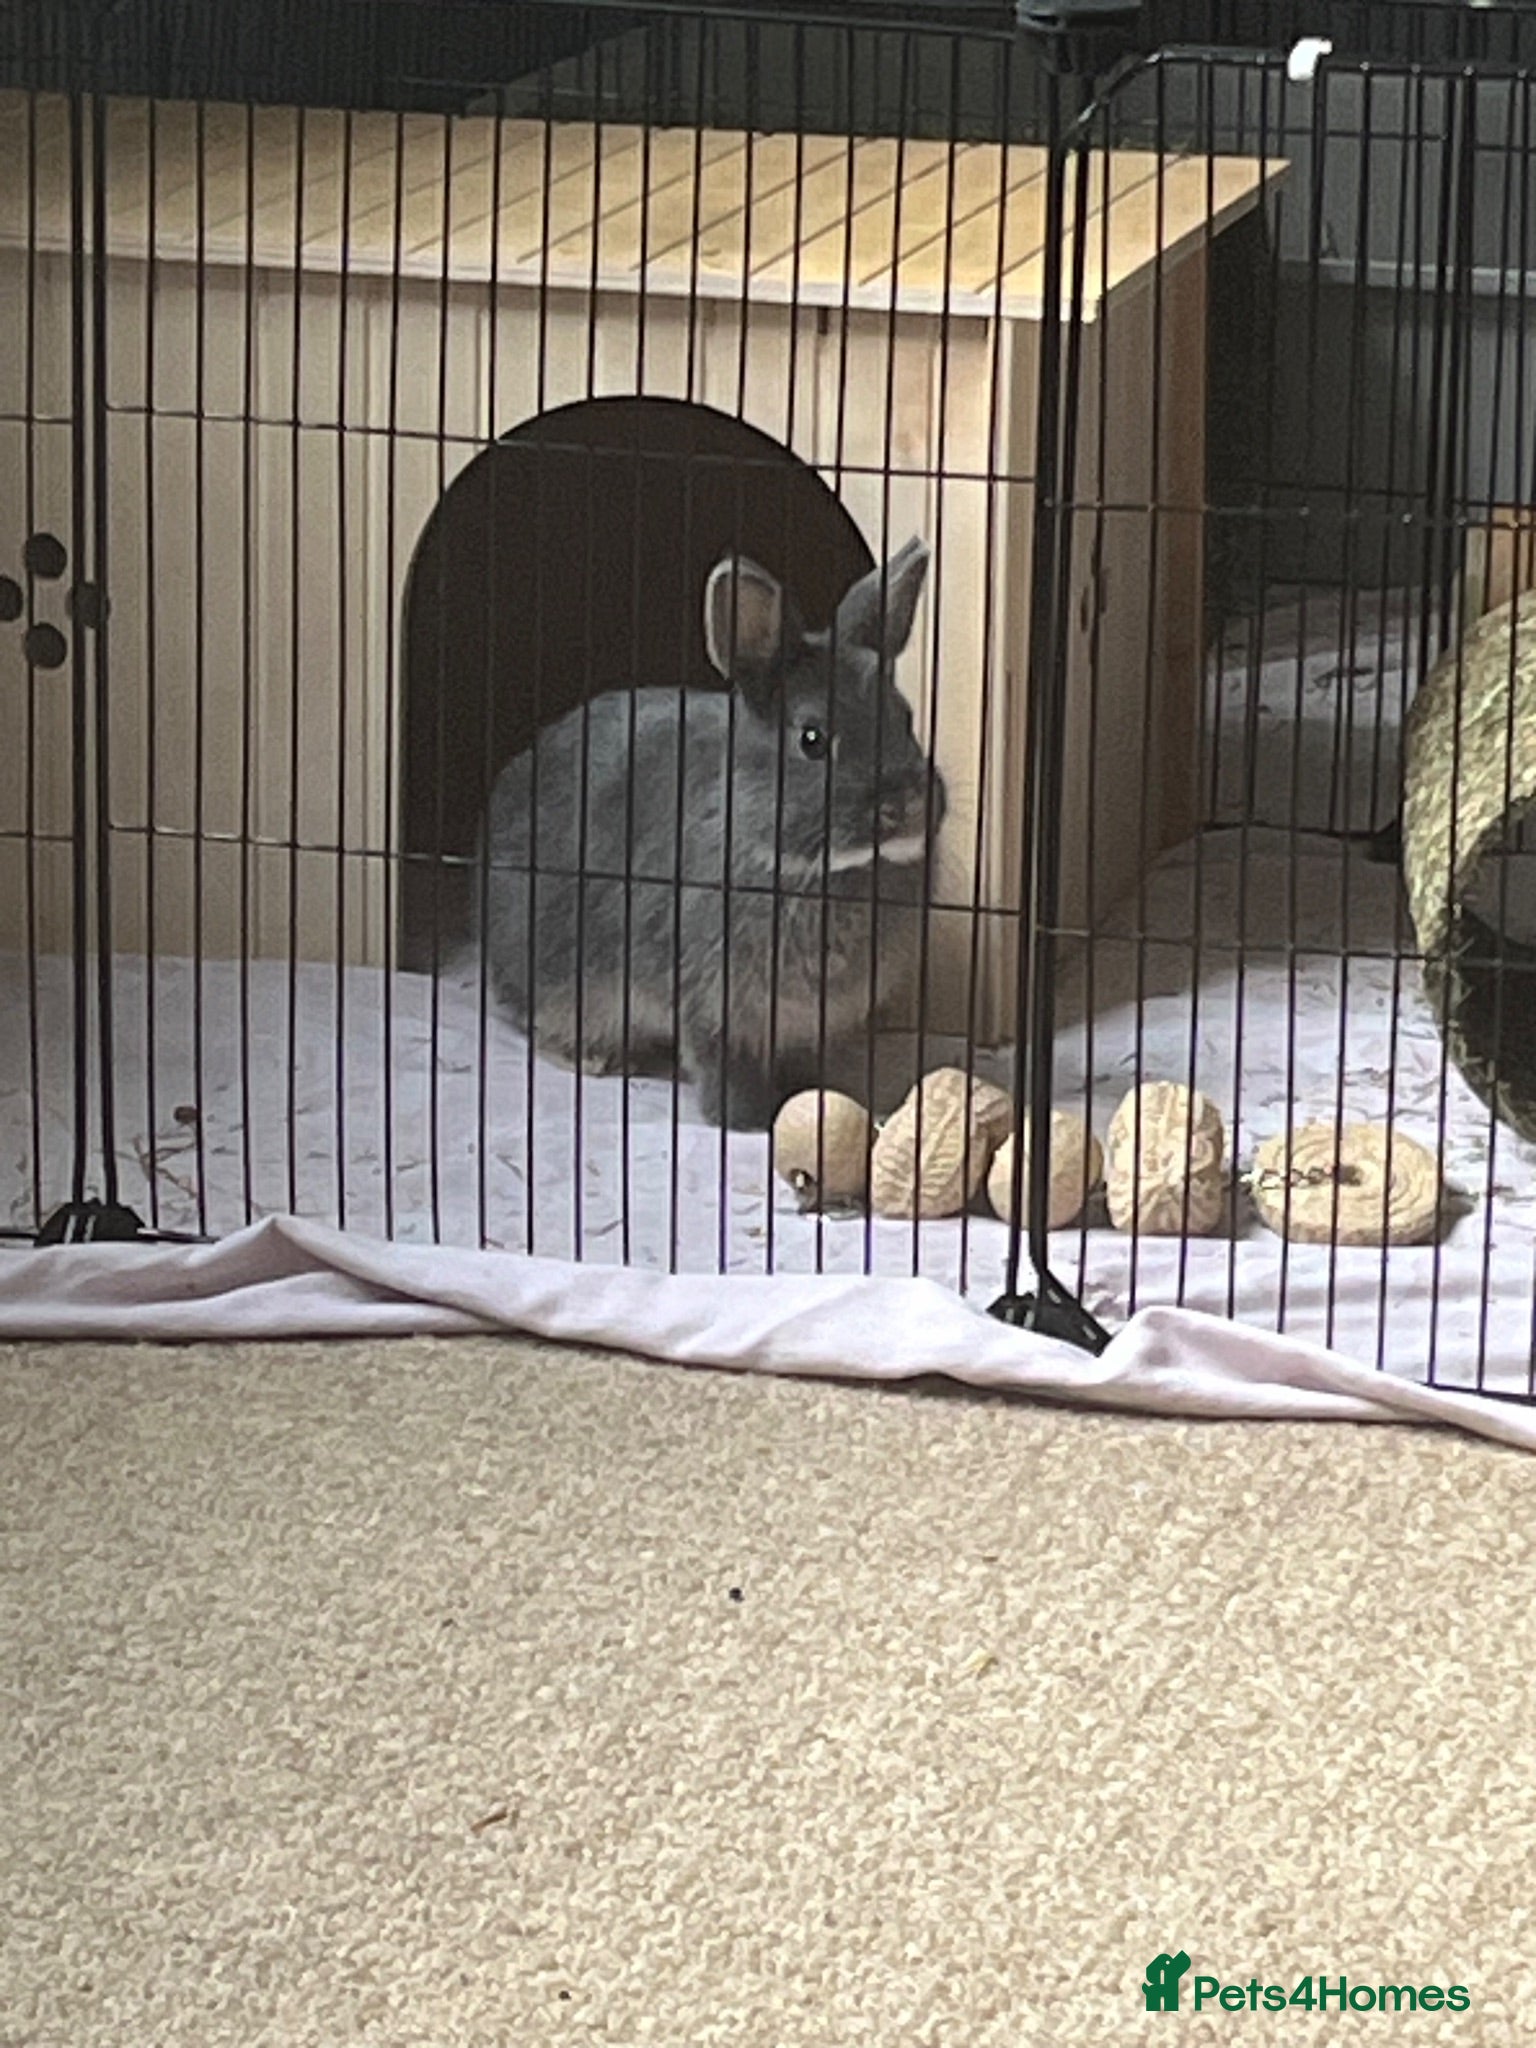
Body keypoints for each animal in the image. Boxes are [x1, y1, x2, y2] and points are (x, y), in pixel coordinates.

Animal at [476, 536, 946, 1130]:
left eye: (906, 720)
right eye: (812, 739)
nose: (905, 805)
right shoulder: (714, 1008)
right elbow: (726, 1070)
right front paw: (745, 1121)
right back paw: (595, 1059)